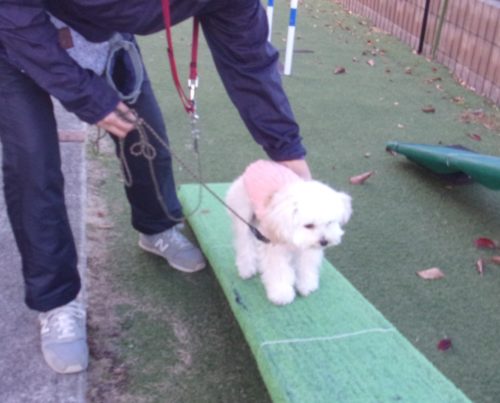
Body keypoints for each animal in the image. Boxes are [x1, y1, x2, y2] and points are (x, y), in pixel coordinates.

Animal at [226, 160, 352, 305]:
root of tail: (256, 164)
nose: (324, 242)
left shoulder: (307, 248)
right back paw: (246, 269)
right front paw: (281, 293)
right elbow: (279, 270)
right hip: (243, 216)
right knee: (244, 244)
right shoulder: (275, 247)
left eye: (330, 222)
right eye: (309, 225)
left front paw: (306, 284)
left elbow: (306, 265)